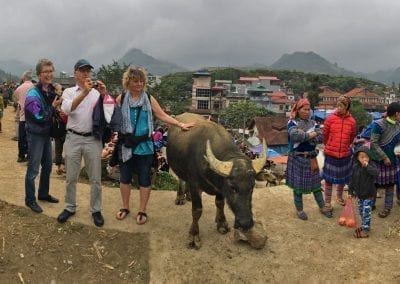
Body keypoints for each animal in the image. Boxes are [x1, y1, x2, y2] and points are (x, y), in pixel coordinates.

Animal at [167, 113, 268, 248]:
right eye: (232, 187)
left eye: (252, 187)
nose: (246, 223)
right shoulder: (195, 185)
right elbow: (197, 210)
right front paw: (194, 236)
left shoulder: (220, 189)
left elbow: (220, 204)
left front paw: (221, 223)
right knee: (181, 180)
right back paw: (180, 198)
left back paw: (188, 196)